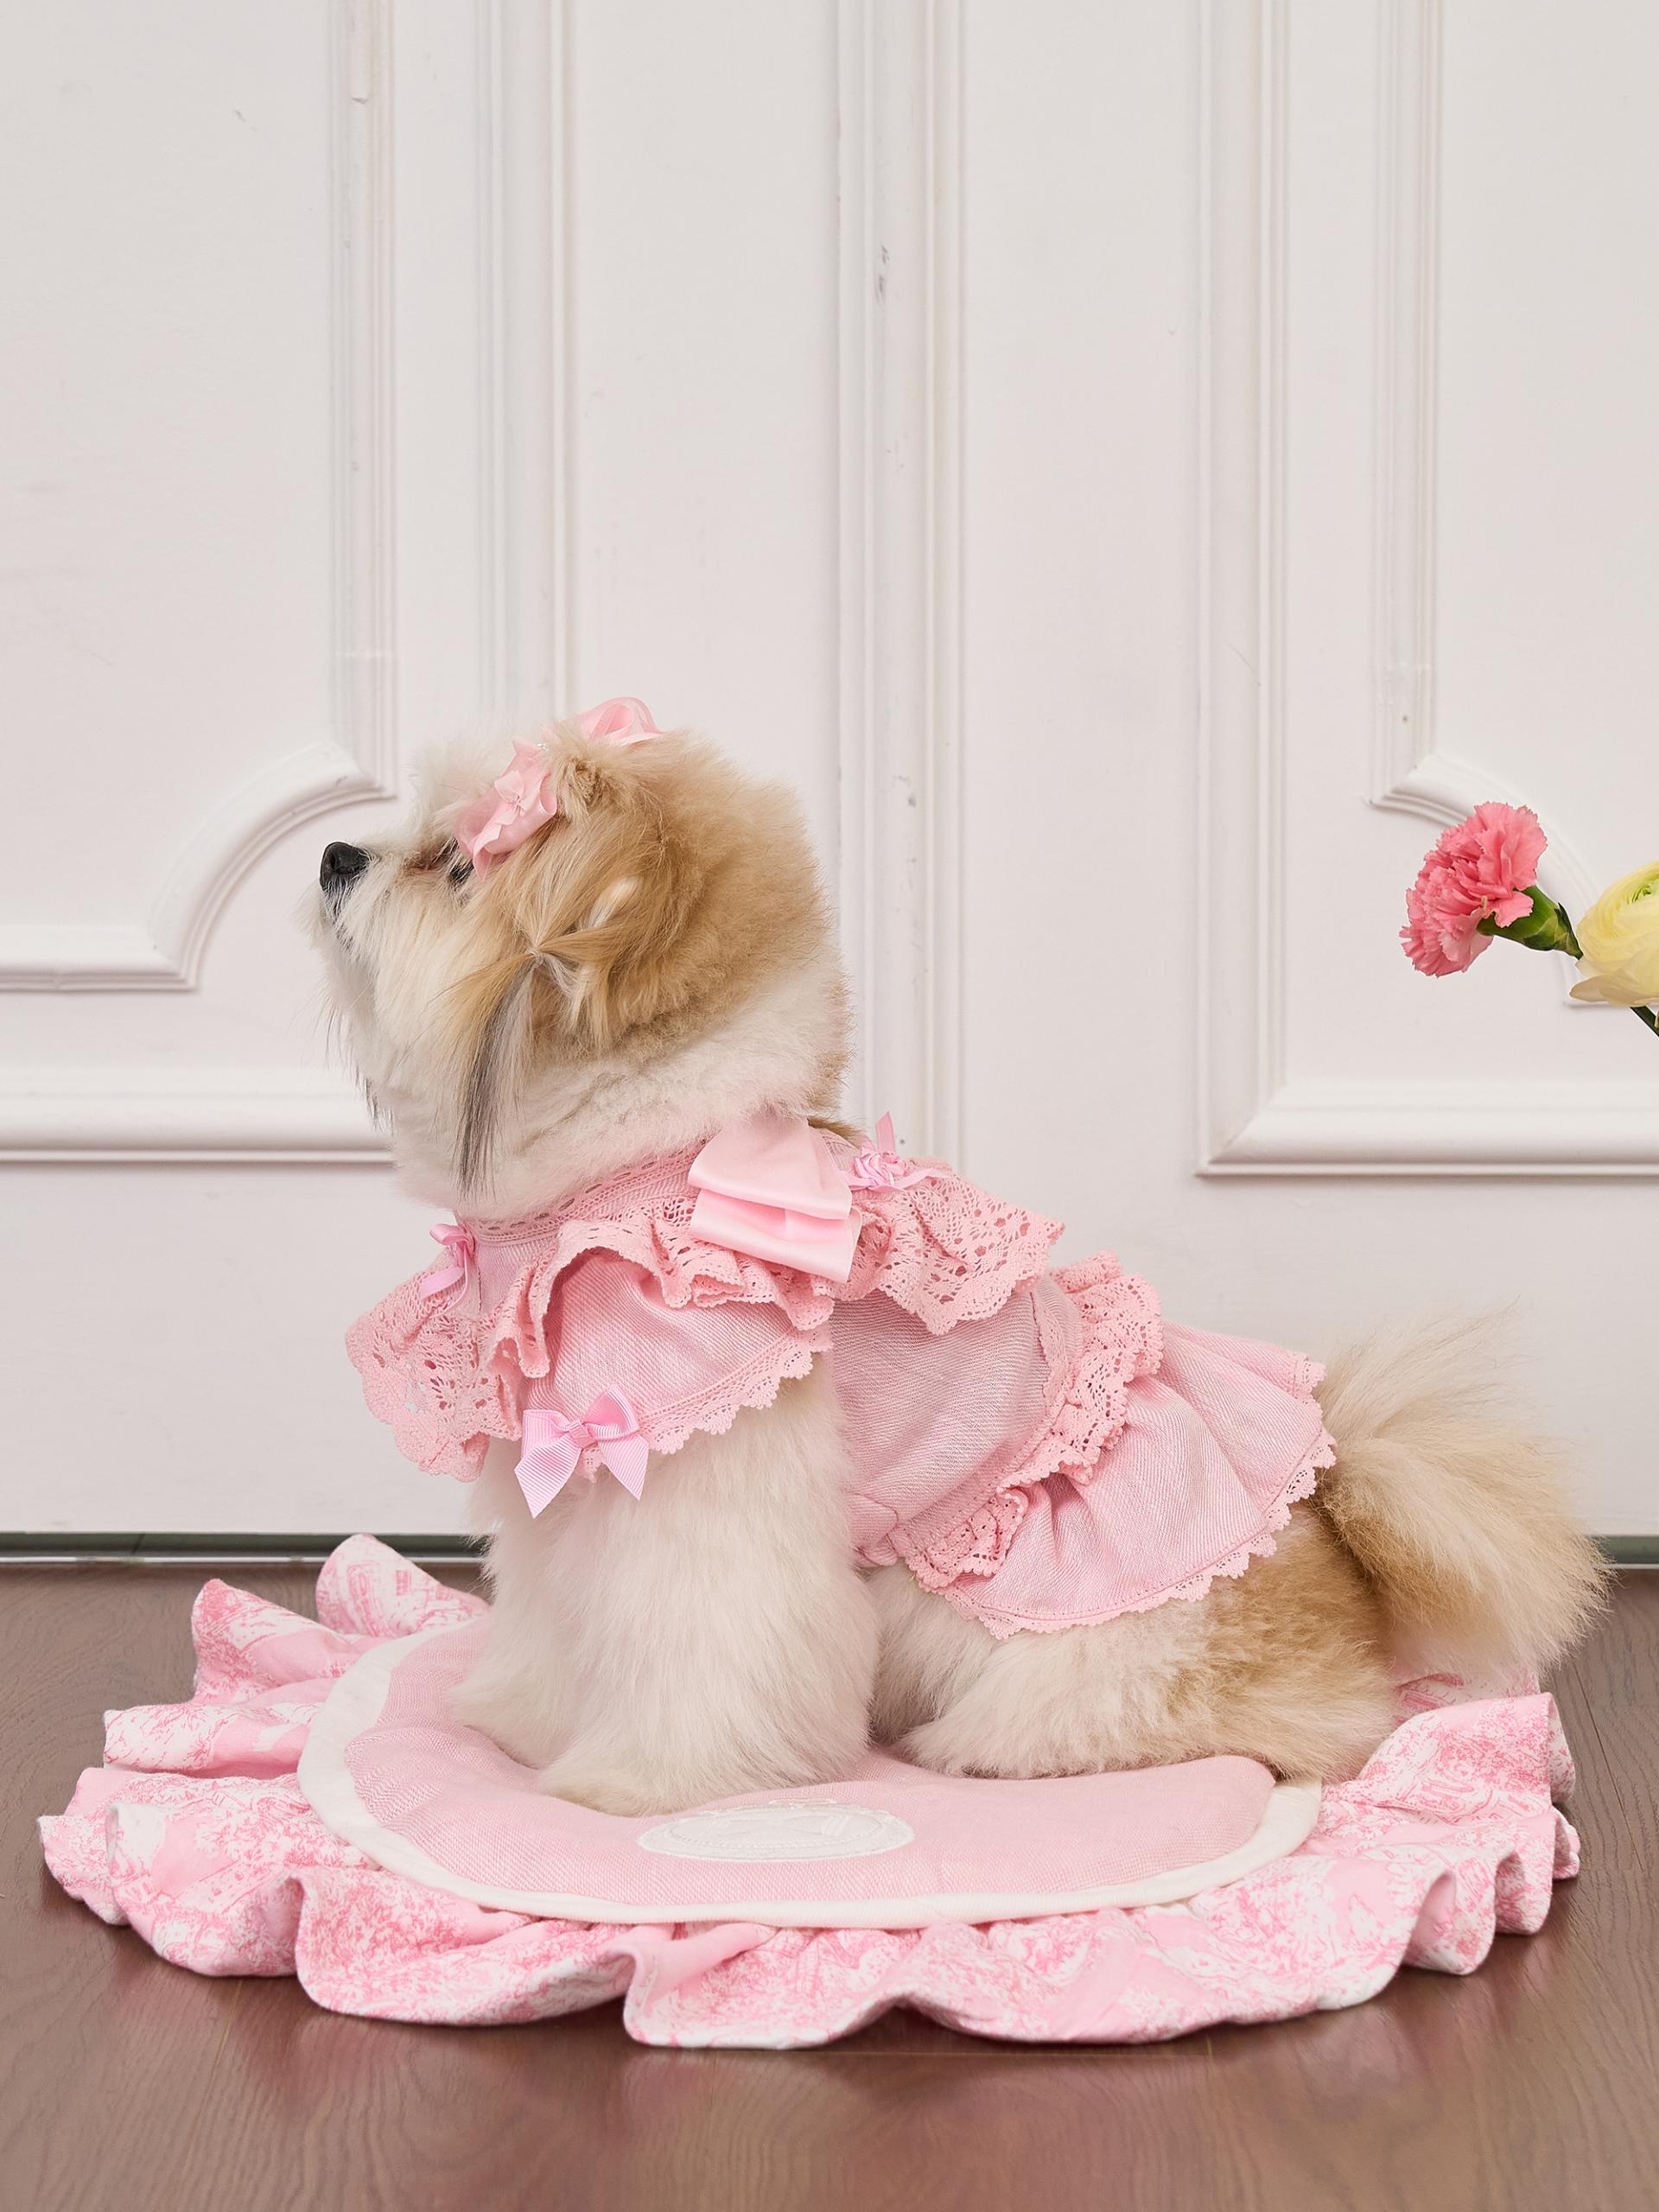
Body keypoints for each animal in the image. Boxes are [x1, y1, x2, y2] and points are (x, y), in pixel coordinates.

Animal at [313, 708, 1606, 1816]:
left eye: (453, 865)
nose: (331, 852)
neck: (645, 1166)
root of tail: (1340, 1545)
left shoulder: (713, 1493)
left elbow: (703, 1653)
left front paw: (641, 1783)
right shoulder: (568, 1493)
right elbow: (554, 1628)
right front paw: (523, 1723)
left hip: (1064, 1648)